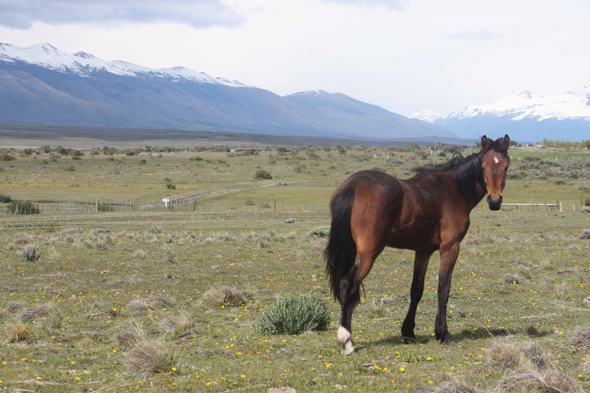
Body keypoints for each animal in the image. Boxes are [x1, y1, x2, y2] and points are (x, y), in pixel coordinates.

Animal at [326, 133, 512, 354]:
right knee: (348, 284)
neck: (453, 189)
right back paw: (346, 341)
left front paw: (408, 333)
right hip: (368, 254)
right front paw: (443, 334)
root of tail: (354, 186)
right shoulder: (450, 248)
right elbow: (443, 289)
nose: (495, 201)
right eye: (483, 168)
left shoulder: (423, 251)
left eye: (506, 167)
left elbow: (416, 290)